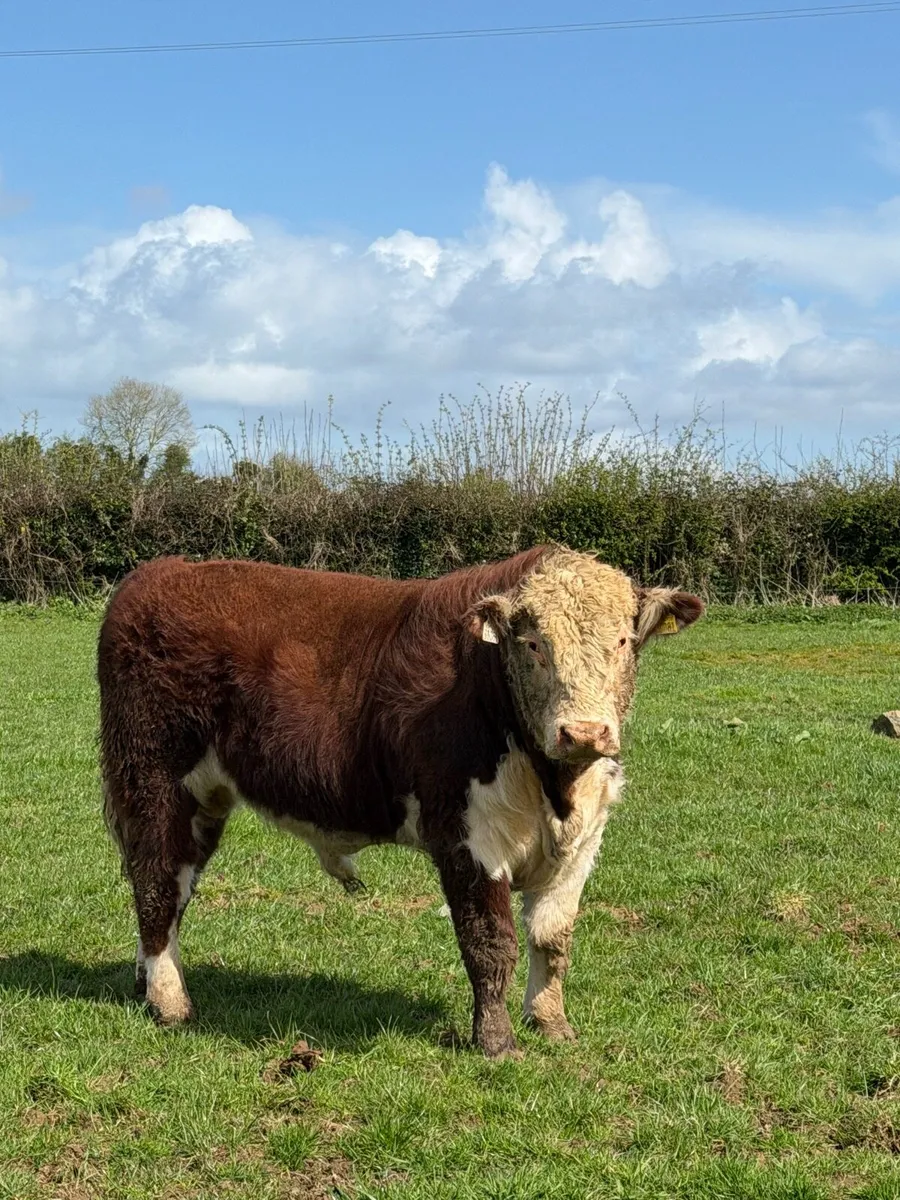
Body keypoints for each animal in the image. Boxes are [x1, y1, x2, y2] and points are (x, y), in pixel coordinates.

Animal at [98, 546, 703, 1058]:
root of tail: (159, 572)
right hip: (153, 781)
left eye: (622, 641)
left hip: (203, 801)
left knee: (174, 887)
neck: (558, 788)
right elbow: (490, 941)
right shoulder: (466, 834)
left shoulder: (583, 843)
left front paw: (552, 1024)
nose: (583, 732)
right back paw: (171, 1004)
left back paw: (147, 983)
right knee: (156, 883)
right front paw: (496, 1042)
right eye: (533, 644)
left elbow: (552, 940)